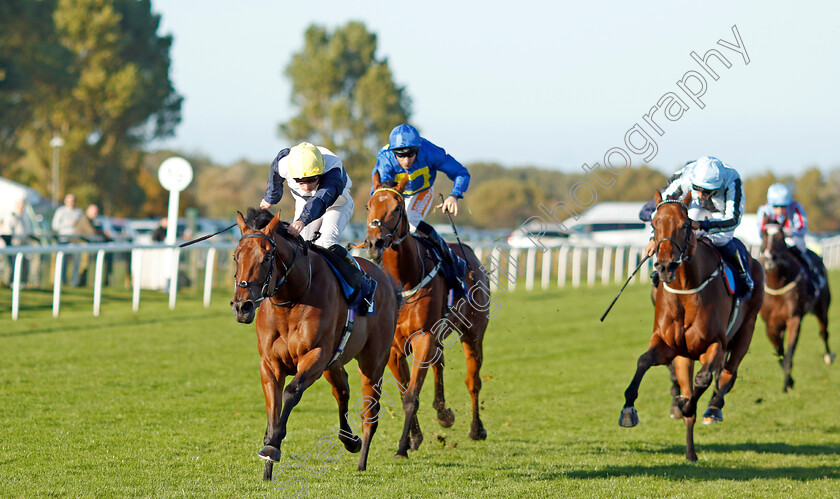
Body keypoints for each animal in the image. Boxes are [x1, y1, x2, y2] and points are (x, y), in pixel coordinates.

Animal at [230, 208, 400, 480]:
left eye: (266, 257)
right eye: (236, 256)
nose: (241, 307)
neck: (291, 300)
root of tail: (381, 277)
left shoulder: (315, 356)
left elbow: (291, 393)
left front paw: (273, 447)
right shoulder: (270, 364)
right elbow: (273, 407)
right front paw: (267, 464)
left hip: (372, 362)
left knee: (370, 411)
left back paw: (361, 460)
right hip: (335, 363)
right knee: (342, 390)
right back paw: (350, 440)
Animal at [362, 177, 492, 460]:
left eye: (397, 208)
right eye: (368, 205)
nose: (374, 243)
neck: (405, 280)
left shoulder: (423, 337)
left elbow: (412, 395)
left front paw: (402, 446)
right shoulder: (394, 348)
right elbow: (404, 392)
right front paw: (415, 438)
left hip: (473, 333)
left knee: (473, 382)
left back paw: (476, 428)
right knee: (439, 364)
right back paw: (443, 413)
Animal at [620, 190, 764, 460]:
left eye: (685, 225)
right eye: (654, 224)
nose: (665, 266)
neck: (686, 290)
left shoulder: (716, 343)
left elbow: (704, 379)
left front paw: (686, 405)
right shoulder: (669, 346)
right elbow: (643, 361)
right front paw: (628, 410)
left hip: (746, 329)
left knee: (728, 374)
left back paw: (713, 409)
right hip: (685, 356)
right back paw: (690, 452)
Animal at [756, 222, 832, 390]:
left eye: (781, 237)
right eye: (764, 234)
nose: (768, 258)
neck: (777, 285)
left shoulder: (794, 319)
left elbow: (789, 350)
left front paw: (787, 383)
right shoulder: (771, 325)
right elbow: (780, 352)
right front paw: (789, 380)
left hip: (822, 309)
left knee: (824, 333)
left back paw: (829, 357)